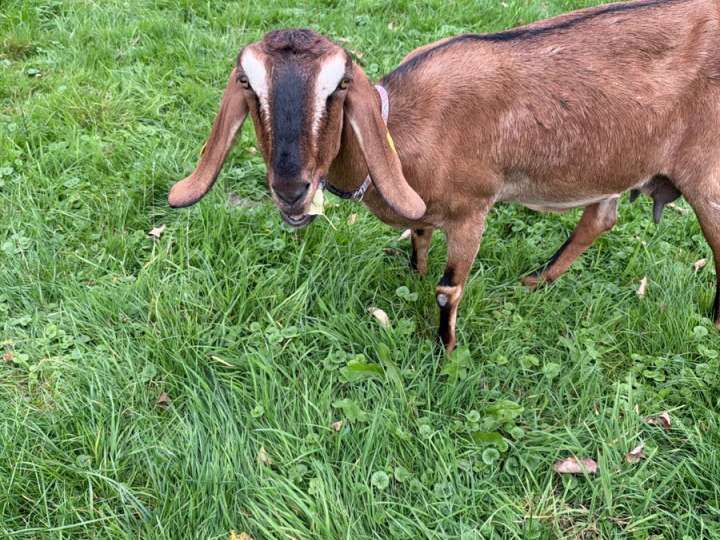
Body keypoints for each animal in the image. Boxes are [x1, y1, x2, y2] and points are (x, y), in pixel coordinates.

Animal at [169, 0, 720, 351]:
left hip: (705, 173)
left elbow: (447, 289)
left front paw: (446, 350)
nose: (291, 190)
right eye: (247, 84)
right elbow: (418, 236)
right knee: (600, 218)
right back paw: (535, 279)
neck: (406, 128)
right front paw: (411, 274)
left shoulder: (472, 209)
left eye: (340, 85)